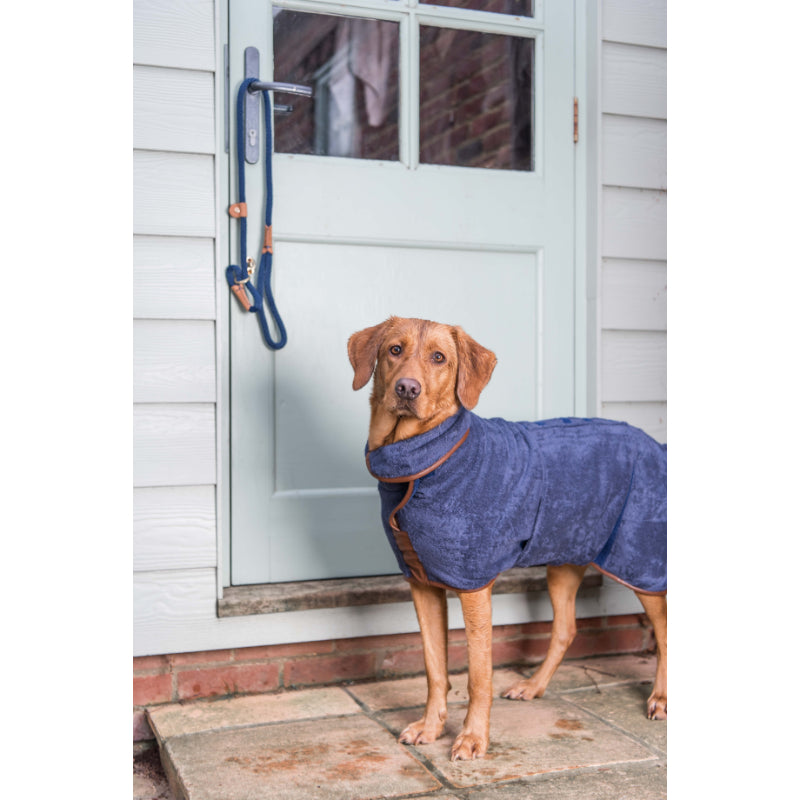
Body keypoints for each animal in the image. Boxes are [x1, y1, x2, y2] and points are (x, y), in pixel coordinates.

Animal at [346, 318, 664, 764]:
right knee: (566, 628)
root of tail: (656, 444)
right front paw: (430, 727)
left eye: (439, 357)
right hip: (565, 557)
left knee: (664, 628)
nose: (407, 388)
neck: (421, 461)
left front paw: (472, 737)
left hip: (640, 558)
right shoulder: (422, 583)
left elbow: (479, 676)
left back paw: (660, 698)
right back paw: (533, 685)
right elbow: (434, 668)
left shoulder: (475, 587)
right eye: (394, 350)